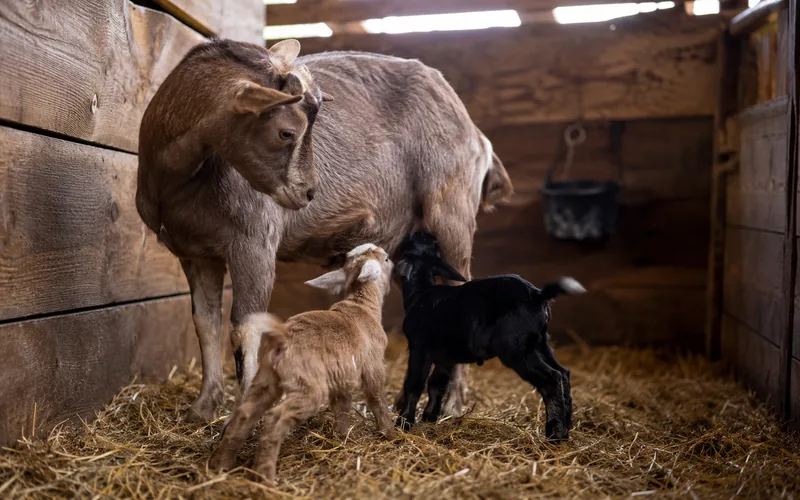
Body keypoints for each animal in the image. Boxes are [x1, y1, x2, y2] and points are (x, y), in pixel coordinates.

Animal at [136, 38, 513, 422]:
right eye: (287, 131)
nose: (308, 192)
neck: (180, 181)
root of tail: (477, 136)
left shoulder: (253, 241)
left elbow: (244, 329)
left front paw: (244, 411)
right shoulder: (195, 254)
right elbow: (205, 323)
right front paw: (203, 407)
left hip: (451, 214)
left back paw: (453, 404)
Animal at [209, 243, 396, 481]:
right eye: (387, 259)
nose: (392, 260)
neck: (361, 304)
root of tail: (283, 337)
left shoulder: (341, 375)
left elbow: (342, 406)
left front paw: (342, 436)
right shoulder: (373, 364)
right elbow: (376, 397)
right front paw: (390, 433)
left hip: (266, 378)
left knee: (245, 413)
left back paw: (221, 464)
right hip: (307, 384)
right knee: (275, 419)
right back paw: (265, 476)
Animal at [393, 232, 583, 440]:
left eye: (409, 244)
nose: (423, 233)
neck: (421, 291)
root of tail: (537, 295)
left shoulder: (420, 348)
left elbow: (414, 384)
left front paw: (404, 423)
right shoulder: (446, 356)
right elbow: (437, 384)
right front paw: (429, 417)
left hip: (516, 347)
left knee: (551, 380)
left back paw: (555, 433)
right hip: (540, 342)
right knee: (563, 373)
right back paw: (567, 427)